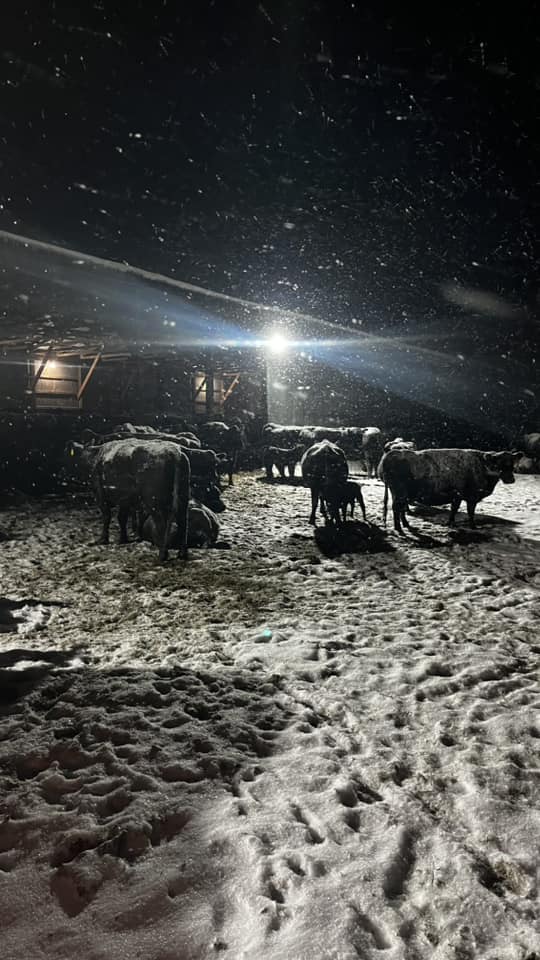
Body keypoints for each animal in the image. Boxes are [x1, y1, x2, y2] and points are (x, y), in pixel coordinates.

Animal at [378, 448, 516, 536]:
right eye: (498, 463)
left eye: (512, 463)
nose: (510, 479)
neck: (481, 467)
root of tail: (392, 454)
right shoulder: (471, 497)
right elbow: (470, 512)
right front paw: (473, 527)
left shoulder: (457, 496)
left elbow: (454, 509)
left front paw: (450, 523)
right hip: (399, 492)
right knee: (396, 508)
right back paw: (399, 529)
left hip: (398, 493)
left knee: (400, 509)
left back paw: (406, 525)